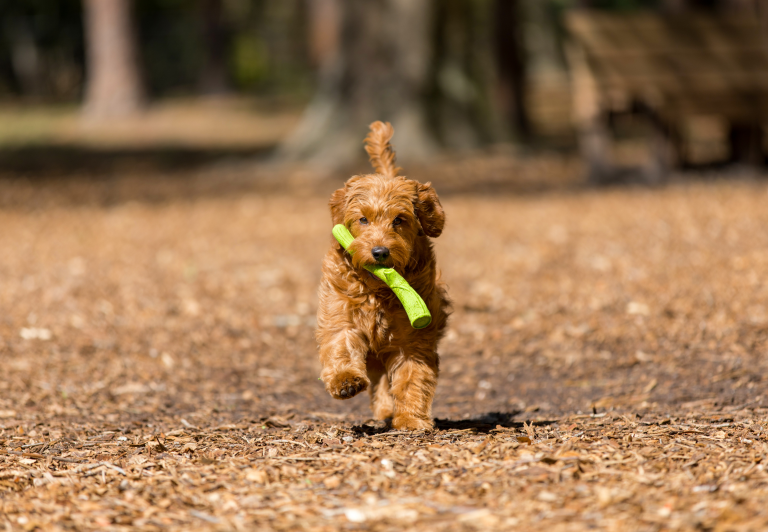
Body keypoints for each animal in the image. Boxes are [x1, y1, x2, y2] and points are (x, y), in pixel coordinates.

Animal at [316, 120, 450, 428]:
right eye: (363, 219)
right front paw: (346, 381)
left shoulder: (413, 338)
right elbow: (341, 345)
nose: (379, 252)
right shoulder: (340, 313)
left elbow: (413, 376)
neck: (377, 288)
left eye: (399, 220)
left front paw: (411, 419)